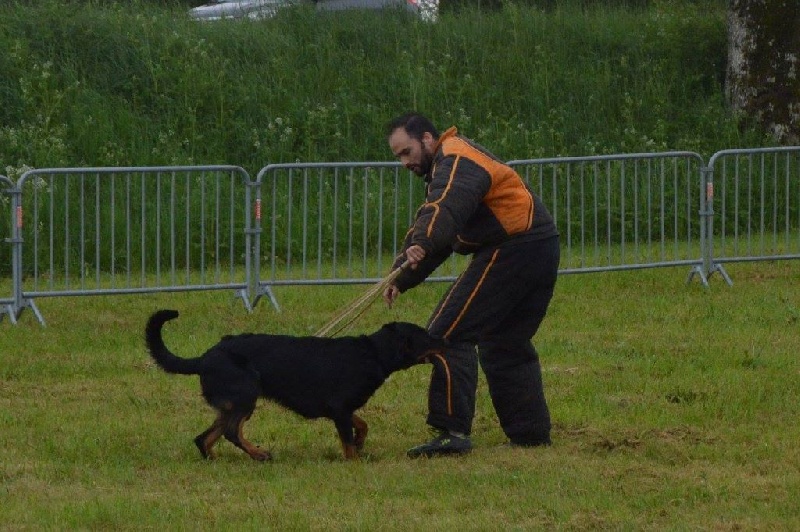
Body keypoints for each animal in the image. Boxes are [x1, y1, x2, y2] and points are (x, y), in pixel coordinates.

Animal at [145, 309, 443, 461]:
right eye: (426, 336)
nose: (445, 340)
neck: (374, 353)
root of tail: (204, 357)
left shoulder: (341, 410)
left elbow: (362, 425)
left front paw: (360, 444)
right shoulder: (339, 408)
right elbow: (348, 440)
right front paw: (355, 459)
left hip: (232, 403)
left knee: (204, 438)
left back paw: (216, 458)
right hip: (246, 395)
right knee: (231, 431)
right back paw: (259, 454)